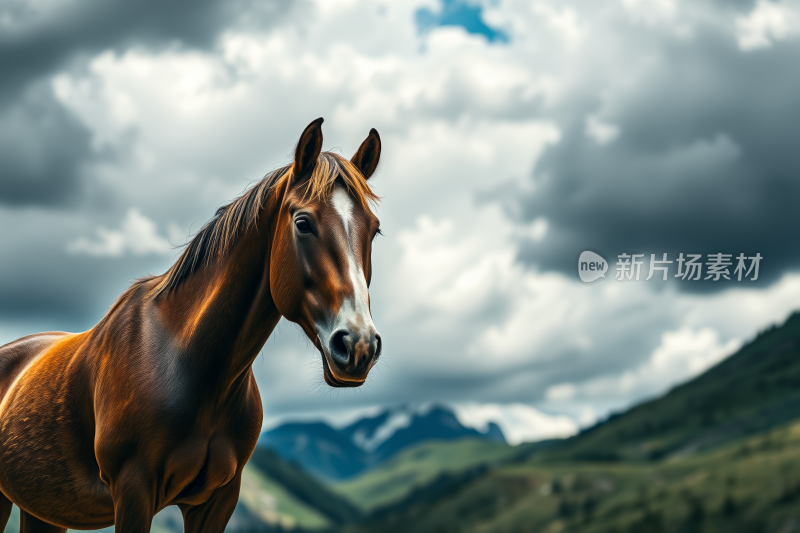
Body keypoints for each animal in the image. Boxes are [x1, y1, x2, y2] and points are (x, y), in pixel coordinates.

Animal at [0, 118, 384, 532]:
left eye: (374, 229)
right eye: (303, 223)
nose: (358, 346)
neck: (187, 363)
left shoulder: (217, 501)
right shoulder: (133, 492)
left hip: (44, 509)